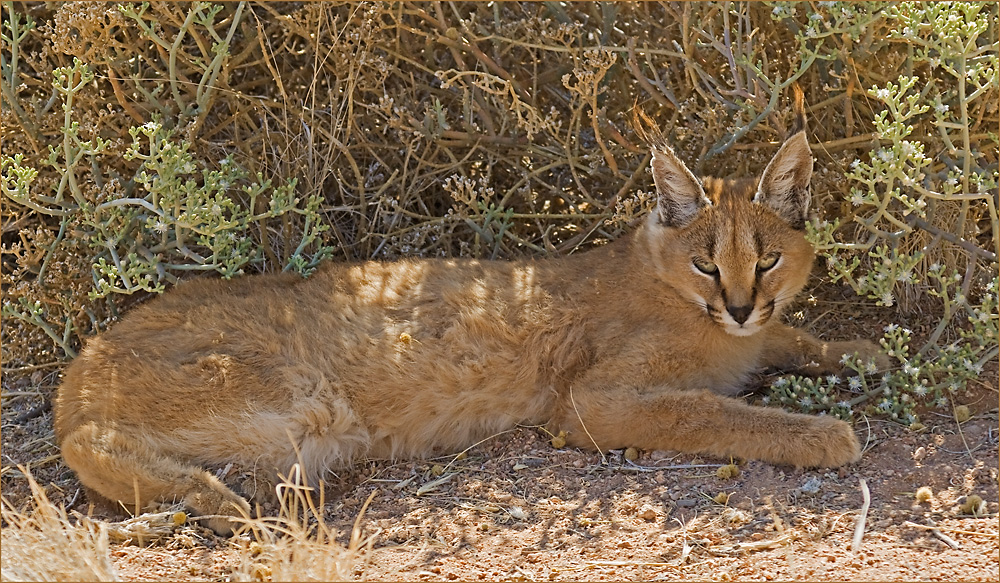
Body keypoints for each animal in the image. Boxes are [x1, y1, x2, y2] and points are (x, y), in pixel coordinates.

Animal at [54, 90, 884, 532]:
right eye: (707, 262)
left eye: (767, 258)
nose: (739, 304)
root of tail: (81, 361)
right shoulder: (591, 401)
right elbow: (710, 410)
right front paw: (820, 432)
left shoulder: (758, 331)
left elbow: (793, 336)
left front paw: (869, 354)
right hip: (299, 402)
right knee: (88, 442)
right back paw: (214, 497)